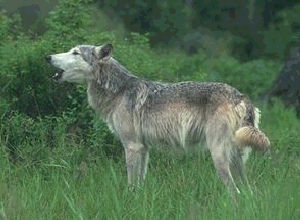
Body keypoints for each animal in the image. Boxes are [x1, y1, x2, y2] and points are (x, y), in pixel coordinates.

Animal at [46, 43, 270, 195]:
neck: (118, 91)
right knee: (247, 191)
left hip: (218, 155)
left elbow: (130, 183)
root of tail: (241, 96)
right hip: (236, 160)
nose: (47, 56)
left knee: (235, 192)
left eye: (75, 52)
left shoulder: (132, 146)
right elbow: (140, 183)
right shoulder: (143, 148)